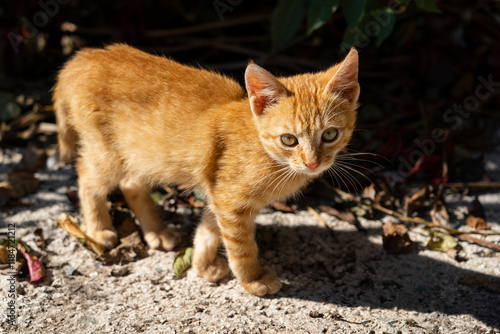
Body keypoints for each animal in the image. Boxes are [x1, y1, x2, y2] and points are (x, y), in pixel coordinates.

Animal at [53, 43, 360, 294]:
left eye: (330, 134)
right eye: (289, 139)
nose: (313, 162)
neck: (269, 155)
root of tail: (84, 57)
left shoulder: (219, 195)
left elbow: (209, 231)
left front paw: (202, 266)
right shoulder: (230, 202)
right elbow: (241, 247)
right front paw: (252, 280)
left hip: (142, 154)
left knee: (131, 183)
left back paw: (157, 232)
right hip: (108, 154)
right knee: (86, 177)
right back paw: (98, 231)